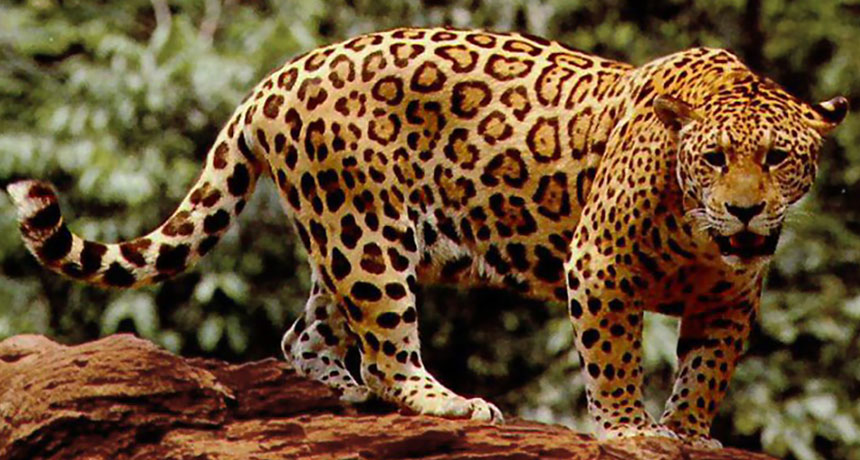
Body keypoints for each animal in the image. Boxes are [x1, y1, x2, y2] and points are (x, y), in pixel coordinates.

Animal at [7, 27, 848, 447]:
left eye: (778, 158)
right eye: (714, 159)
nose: (745, 211)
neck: (699, 234)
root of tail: (275, 78)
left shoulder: (730, 299)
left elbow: (706, 371)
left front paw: (690, 432)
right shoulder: (599, 264)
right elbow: (612, 358)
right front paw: (630, 432)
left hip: (345, 236)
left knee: (306, 331)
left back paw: (340, 393)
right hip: (367, 234)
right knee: (385, 348)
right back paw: (446, 403)